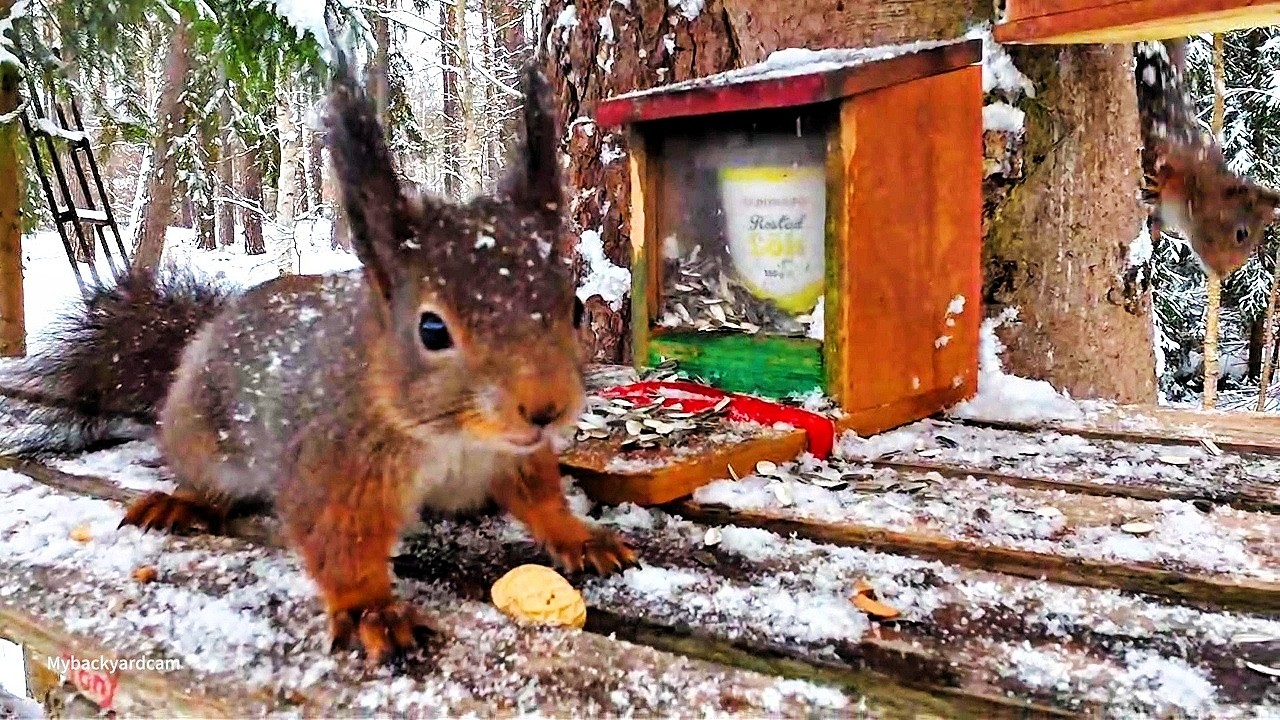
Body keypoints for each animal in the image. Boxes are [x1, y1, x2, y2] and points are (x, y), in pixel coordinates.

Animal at [13, 60, 637, 665]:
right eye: (432, 329)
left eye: (575, 307)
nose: (545, 408)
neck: (455, 438)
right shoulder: (335, 461)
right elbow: (338, 539)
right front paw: (370, 611)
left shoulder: (517, 457)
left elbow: (541, 496)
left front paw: (581, 536)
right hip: (204, 436)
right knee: (204, 479)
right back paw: (180, 501)